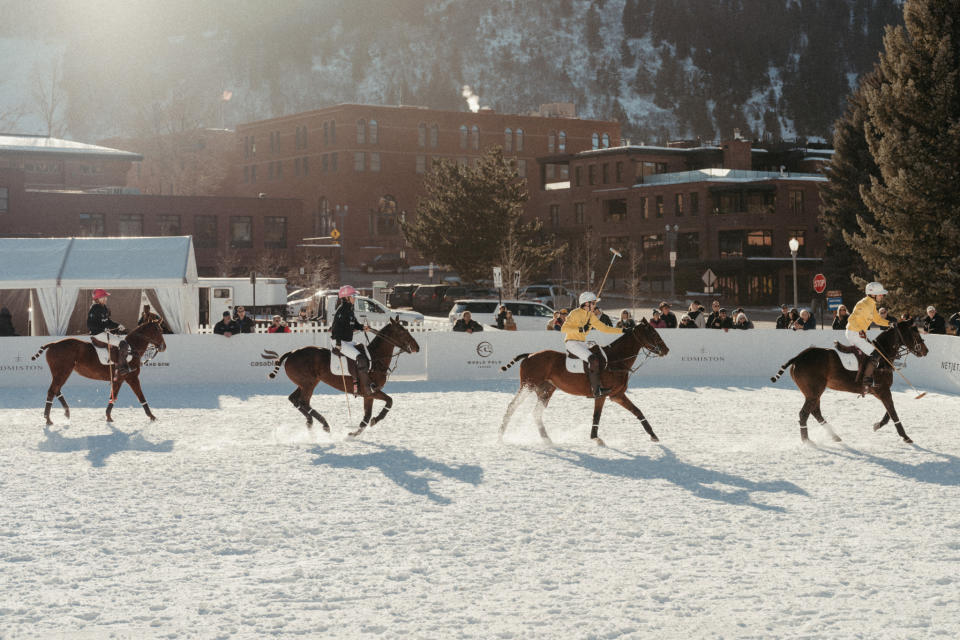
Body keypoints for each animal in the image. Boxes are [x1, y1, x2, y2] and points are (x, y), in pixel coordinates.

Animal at [31, 320, 168, 424]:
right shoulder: (131, 378)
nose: (163, 347)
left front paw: (108, 416)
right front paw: (152, 416)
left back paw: (66, 412)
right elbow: (141, 396)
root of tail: (52, 344)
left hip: (60, 373)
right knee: (52, 391)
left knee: (56, 390)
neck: (132, 349)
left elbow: (113, 397)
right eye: (158, 330)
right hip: (62, 372)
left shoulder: (118, 379)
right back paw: (48, 419)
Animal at [270, 318, 420, 438]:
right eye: (402, 331)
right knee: (303, 402)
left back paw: (310, 421)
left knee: (294, 399)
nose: (417, 347)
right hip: (309, 383)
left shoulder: (368, 395)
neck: (376, 358)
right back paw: (325, 424)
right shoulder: (372, 391)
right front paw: (375, 420)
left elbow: (367, 417)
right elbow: (389, 401)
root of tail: (291, 353)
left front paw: (354, 433)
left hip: (305, 383)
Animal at [498, 318, 672, 444]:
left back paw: (546, 439)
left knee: (536, 413)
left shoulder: (617, 395)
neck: (616, 360)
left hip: (546, 389)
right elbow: (597, 416)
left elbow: (637, 411)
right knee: (512, 406)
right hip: (528, 385)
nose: (666, 350)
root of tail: (528, 355)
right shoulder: (601, 395)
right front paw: (596, 438)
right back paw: (500, 436)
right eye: (654, 333)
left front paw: (653, 435)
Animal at [768, 320, 928, 444]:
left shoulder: (879, 391)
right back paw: (807, 440)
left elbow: (889, 412)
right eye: (915, 333)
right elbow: (893, 412)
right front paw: (905, 437)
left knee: (815, 411)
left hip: (813, 392)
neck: (883, 357)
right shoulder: (882, 390)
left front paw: (877, 425)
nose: (925, 351)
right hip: (814, 390)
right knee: (804, 414)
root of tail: (798, 357)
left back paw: (834, 436)